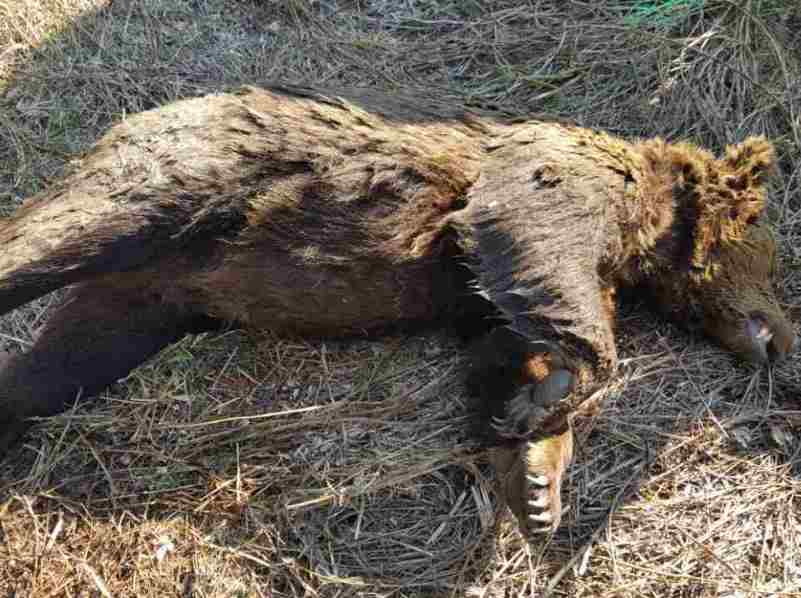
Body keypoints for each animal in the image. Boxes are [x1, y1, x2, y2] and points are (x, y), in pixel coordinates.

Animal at [0, 83, 792, 540]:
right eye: (775, 257)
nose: (784, 341)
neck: (647, 236)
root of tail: (141, 113)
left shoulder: (482, 298)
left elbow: (508, 354)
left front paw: (537, 479)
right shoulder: (551, 183)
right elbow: (540, 244)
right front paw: (567, 392)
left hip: (148, 303)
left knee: (59, 362)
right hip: (179, 182)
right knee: (56, 237)